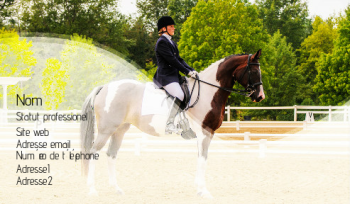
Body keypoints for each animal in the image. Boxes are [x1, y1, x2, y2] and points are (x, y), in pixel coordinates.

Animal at [80, 48, 266, 198]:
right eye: (254, 71)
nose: (260, 96)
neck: (208, 91)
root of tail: (104, 87)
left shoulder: (204, 134)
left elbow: (200, 158)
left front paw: (199, 189)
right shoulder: (205, 133)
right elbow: (203, 159)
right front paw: (204, 191)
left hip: (119, 130)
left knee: (111, 154)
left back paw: (117, 189)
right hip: (106, 130)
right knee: (93, 152)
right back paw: (92, 190)